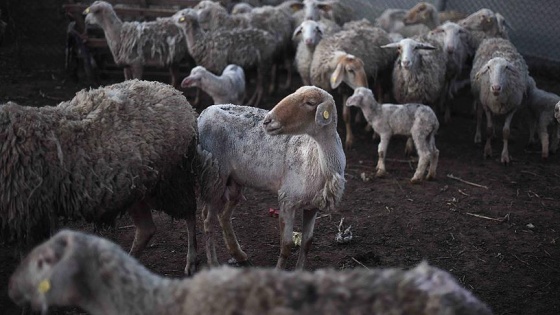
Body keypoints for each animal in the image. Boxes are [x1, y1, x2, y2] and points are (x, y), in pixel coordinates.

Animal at [0, 79, 199, 276]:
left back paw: (191, 261)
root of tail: (172, 91)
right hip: (136, 187)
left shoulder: (29, 215)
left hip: (172, 179)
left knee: (189, 212)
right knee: (146, 228)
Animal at [197, 87, 346, 272]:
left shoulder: (313, 206)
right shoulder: (287, 199)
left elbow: (307, 243)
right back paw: (213, 263)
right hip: (214, 178)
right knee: (207, 219)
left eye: (310, 103)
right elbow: (287, 244)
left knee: (223, 215)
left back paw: (239, 255)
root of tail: (205, 112)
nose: (267, 121)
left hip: (234, 181)